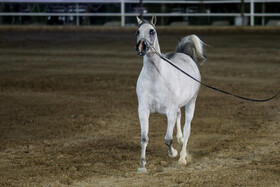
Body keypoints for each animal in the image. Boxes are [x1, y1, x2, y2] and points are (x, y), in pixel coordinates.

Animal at [135, 16, 207, 173]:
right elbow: (144, 139)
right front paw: (142, 166)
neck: (155, 78)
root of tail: (185, 55)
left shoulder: (170, 111)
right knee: (180, 117)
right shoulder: (143, 111)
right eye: (137, 31)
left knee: (187, 129)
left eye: (152, 31)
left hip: (191, 102)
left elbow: (168, 139)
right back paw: (180, 140)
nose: (141, 47)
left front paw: (173, 153)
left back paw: (182, 158)